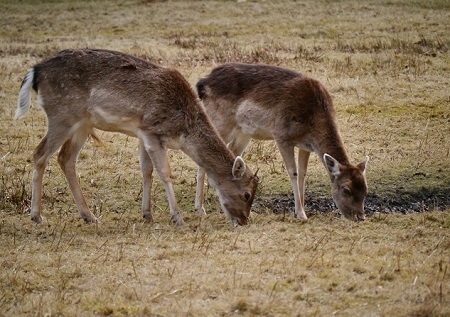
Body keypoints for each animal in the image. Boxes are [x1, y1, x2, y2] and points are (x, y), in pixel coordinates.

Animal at [13, 49, 256, 226]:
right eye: (246, 194)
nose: (243, 221)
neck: (183, 130)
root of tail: (35, 71)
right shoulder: (151, 130)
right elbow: (164, 173)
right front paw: (177, 218)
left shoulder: (142, 134)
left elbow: (146, 171)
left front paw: (147, 214)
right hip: (62, 115)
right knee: (40, 154)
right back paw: (37, 216)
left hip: (82, 124)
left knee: (66, 158)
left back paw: (89, 215)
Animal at [194, 61, 370, 220]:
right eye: (346, 190)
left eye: (365, 189)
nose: (360, 217)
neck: (313, 118)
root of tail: (202, 83)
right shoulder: (282, 136)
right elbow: (293, 172)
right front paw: (300, 214)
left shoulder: (306, 146)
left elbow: (303, 173)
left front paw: (303, 209)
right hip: (220, 123)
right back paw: (200, 208)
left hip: (244, 132)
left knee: (232, 154)